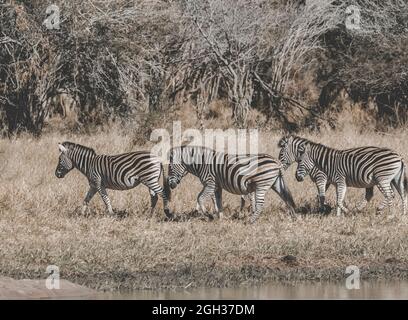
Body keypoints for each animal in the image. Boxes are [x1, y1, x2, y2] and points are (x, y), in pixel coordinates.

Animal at [167, 145, 298, 222]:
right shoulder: (217, 186)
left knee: (261, 204)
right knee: (286, 197)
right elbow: (218, 202)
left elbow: (200, 198)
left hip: (262, 184)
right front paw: (220, 218)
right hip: (276, 183)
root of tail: (276, 161)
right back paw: (293, 216)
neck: (202, 164)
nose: (170, 185)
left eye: (170, 168)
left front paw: (208, 215)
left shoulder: (210, 183)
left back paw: (251, 221)